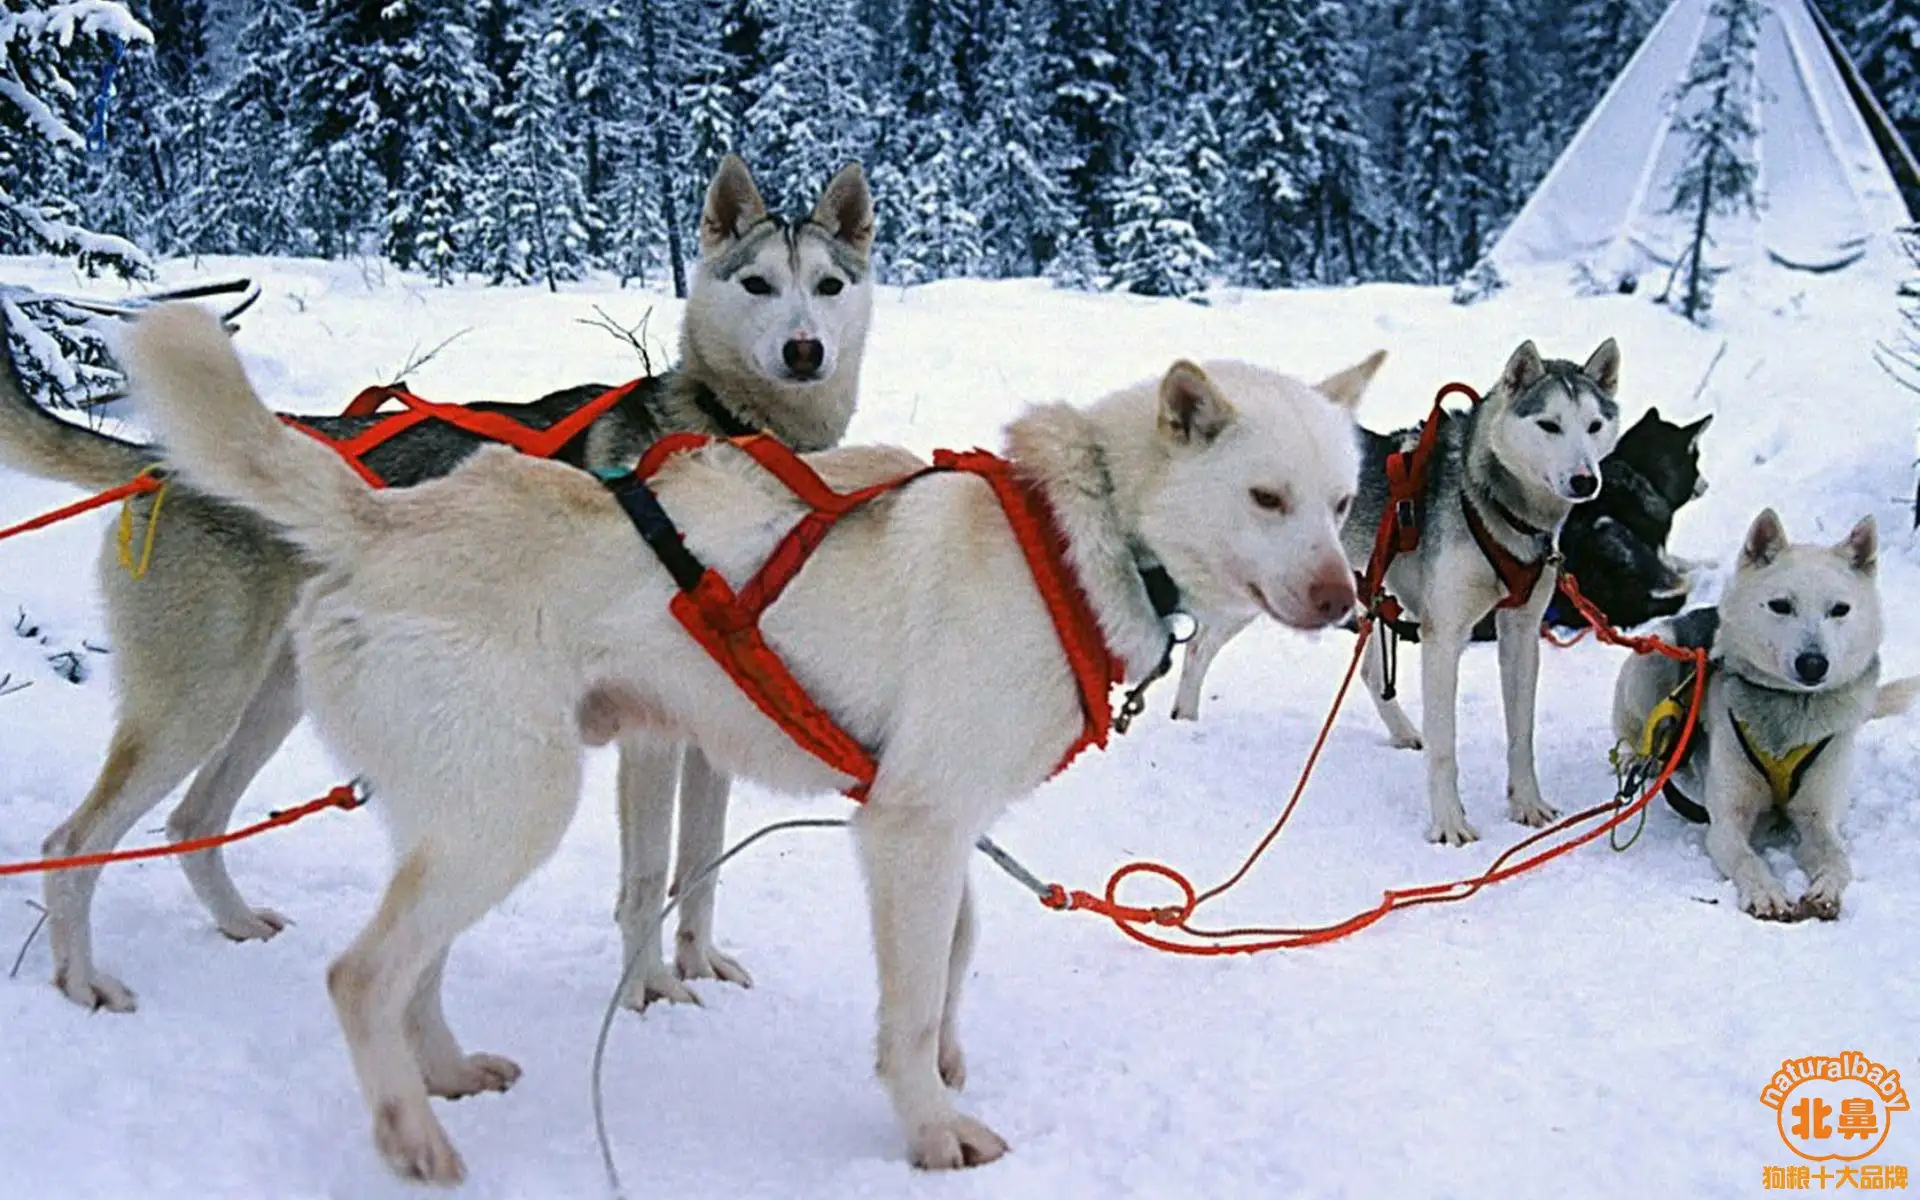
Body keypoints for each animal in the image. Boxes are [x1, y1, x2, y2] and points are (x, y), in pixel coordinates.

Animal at [0, 149, 879, 1013]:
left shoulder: (714, 736)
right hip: (194, 705)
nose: (805, 350)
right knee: (73, 842)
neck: (734, 432)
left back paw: (237, 923)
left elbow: (699, 867)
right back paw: (81, 979)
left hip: (271, 702)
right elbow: (645, 878)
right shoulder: (653, 738)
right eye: (757, 283)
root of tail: (159, 463)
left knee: (192, 820)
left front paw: (698, 963)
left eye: (827, 285)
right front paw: (649, 992)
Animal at [120, 303, 1382, 1182]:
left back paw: (446, 1072)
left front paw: (947, 1061)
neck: (1085, 532)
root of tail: (390, 515)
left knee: (413, 969)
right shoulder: (910, 827)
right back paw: (410, 1137)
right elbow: (909, 1004)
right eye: (1267, 498)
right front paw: (929, 1126)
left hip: (470, 813)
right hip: (513, 810)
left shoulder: (938, 821)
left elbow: (958, 953)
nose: (1344, 600)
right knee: (362, 972)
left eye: (1337, 502)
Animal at [1612, 506, 1912, 917]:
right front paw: (1766, 892)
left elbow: (1837, 859)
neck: (1791, 707)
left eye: (1840, 610)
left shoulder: (1819, 818)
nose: (1813, 664)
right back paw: (1640, 757)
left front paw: (1825, 890)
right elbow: (1748, 859)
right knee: (1632, 730)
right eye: (1781, 605)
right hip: (1654, 658)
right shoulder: (1727, 822)